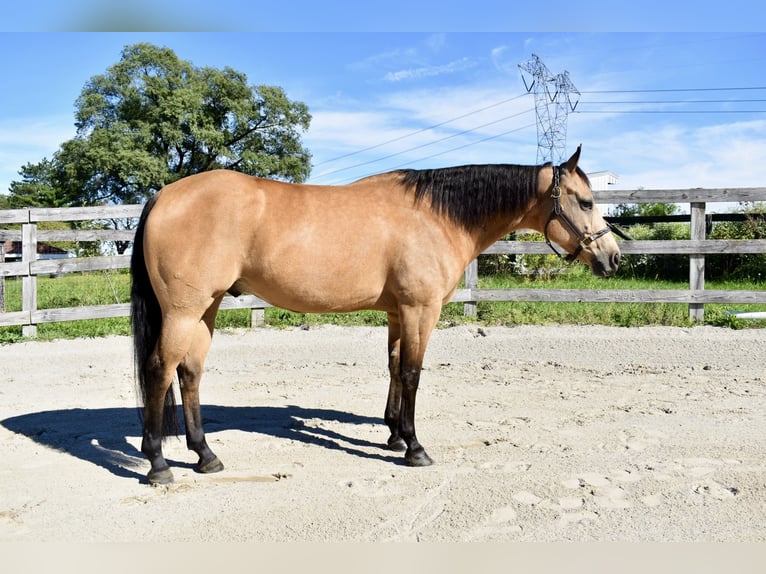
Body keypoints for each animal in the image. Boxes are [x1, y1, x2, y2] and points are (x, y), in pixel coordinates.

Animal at [130, 145, 620, 485]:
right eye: (586, 202)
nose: (613, 258)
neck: (436, 216)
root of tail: (163, 196)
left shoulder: (398, 312)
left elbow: (394, 366)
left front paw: (394, 434)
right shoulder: (421, 310)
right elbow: (413, 373)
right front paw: (415, 447)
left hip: (206, 308)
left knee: (189, 373)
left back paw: (205, 456)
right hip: (184, 311)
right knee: (159, 370)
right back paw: (158, 463)